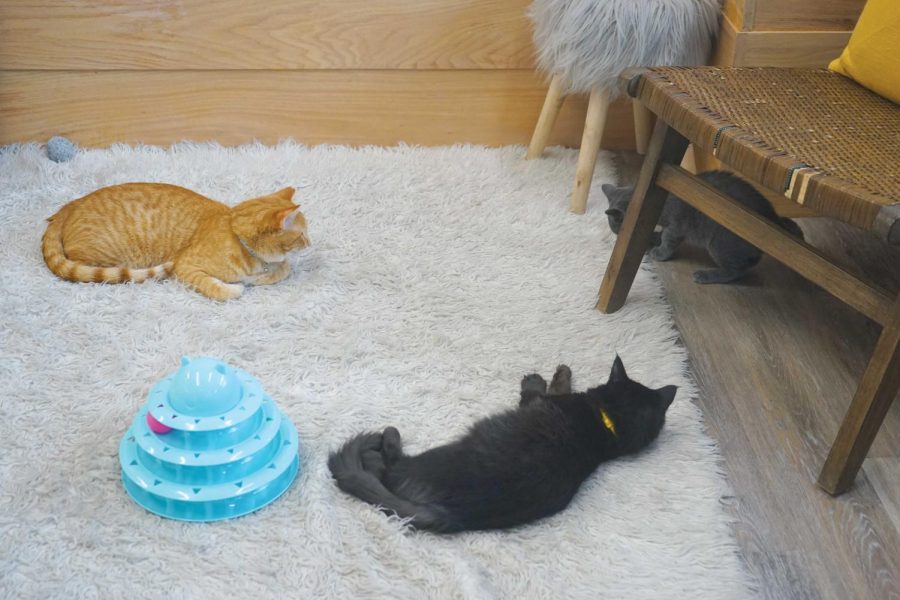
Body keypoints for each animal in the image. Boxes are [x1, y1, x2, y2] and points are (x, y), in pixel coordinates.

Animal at [42, 183, 310, 300]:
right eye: (302, 235)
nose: (309, 243)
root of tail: (70, 206)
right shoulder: (185, 266)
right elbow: (218, 288)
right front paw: (236, 287)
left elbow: (284, 268)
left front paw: (263, 276)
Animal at [328, 354, 676, 532]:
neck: (602, 427)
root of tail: (448, 514)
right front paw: (562, 372)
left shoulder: (539, 402)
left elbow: (546, 389)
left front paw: (544, 377)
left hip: (421, 461)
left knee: (384, 467)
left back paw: (385, 438)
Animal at [604, 170, 800, 284]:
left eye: (620, 229)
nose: (616, 235)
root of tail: (773, 219)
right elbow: (661, 234)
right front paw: (653, 238)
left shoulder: (677, 225)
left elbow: (668, 239)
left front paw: (659, 252)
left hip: (720, 243)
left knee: (736, 270)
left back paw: (705, 276)